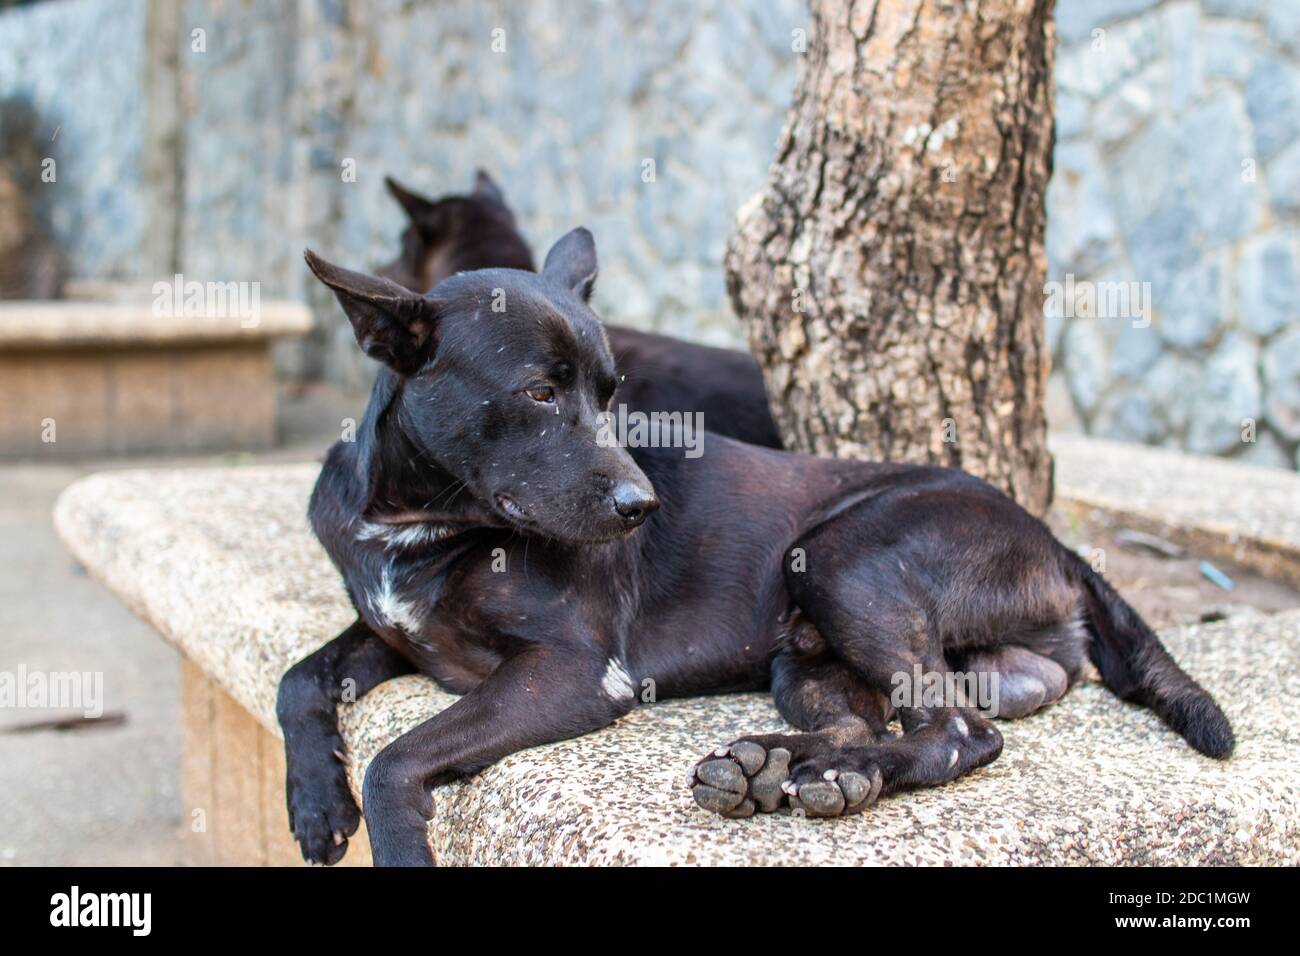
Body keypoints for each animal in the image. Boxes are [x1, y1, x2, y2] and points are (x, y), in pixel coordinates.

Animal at [279, 230, 1232, 868]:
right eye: (540, 393)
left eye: (611, 393)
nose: (642, 506)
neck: (416, 525)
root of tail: (1055, 542)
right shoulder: (392, 631)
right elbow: (301, 678)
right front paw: (316, 803)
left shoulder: (571, 671)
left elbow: (397, 757)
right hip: (806, 655)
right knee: (874, 723)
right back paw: (786, 766)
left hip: (843, 555)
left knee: (957, 733)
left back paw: (821, 772)